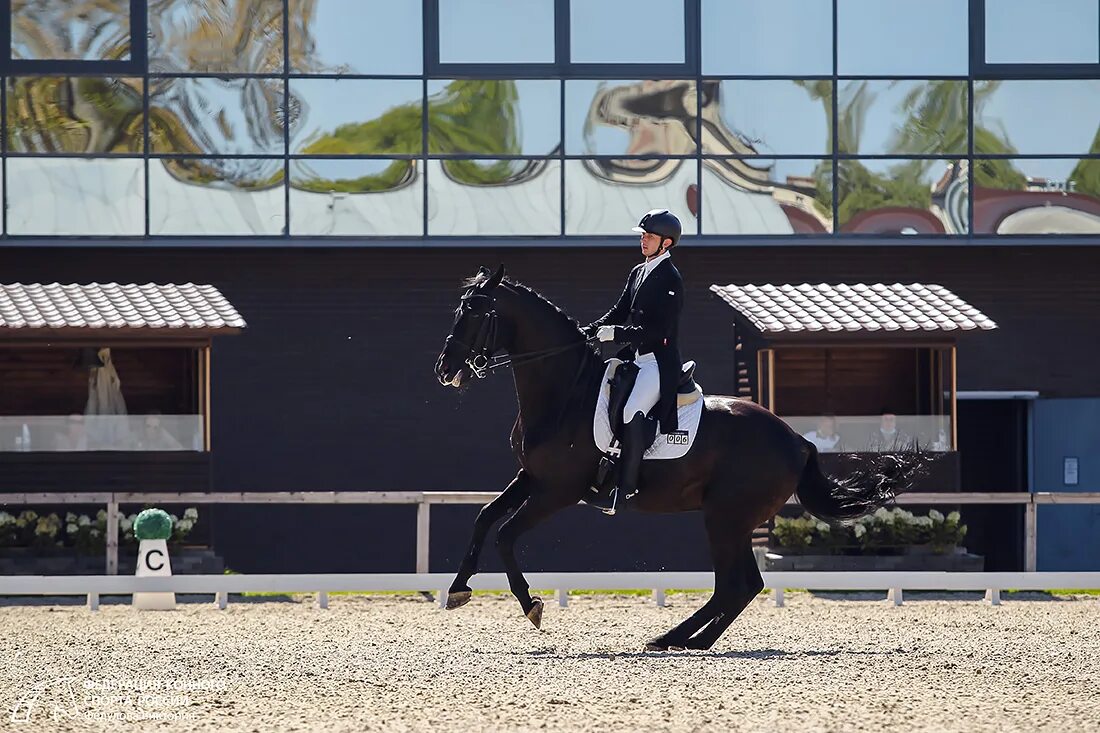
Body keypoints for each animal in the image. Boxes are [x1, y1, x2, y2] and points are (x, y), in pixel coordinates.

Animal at [433, 265, 924, 647]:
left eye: (476, 312)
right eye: (459, 309)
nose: (444, 370)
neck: (566, 392)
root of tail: (796, 440)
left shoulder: (558, 491)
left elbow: (506, 535)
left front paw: (531, 604)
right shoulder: (531, 478)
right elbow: (484, 518)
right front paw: (457, 590)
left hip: (726, 517)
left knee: (736, 585)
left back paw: (679, 639)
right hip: (730, 519)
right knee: (743, 585)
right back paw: (680, 639)